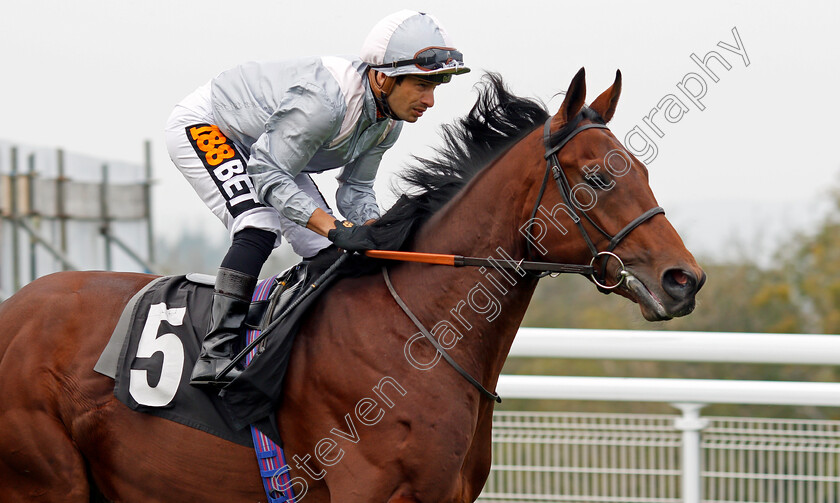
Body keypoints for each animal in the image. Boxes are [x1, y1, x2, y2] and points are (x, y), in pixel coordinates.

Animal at [0, 69, 704, 502]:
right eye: (597, 178)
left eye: (641, 170)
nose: (684, 279)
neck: (416, 336)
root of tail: (13, 308)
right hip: (46, 481)